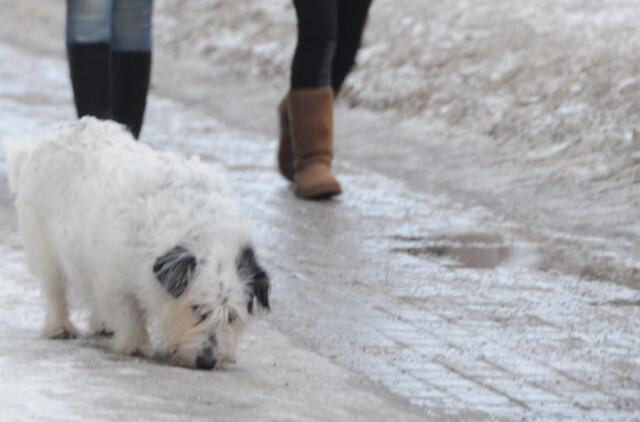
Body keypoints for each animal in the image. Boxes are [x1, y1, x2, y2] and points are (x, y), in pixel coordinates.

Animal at [5, 118, 270, 370]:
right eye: (197, 309)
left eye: (232, 316)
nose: (207, 362)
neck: (204, 230)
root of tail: (52, 136)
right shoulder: (115, 277)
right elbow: (128, 311)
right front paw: (135, 344)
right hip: (44, 247)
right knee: (54, 290)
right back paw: (60, 327)